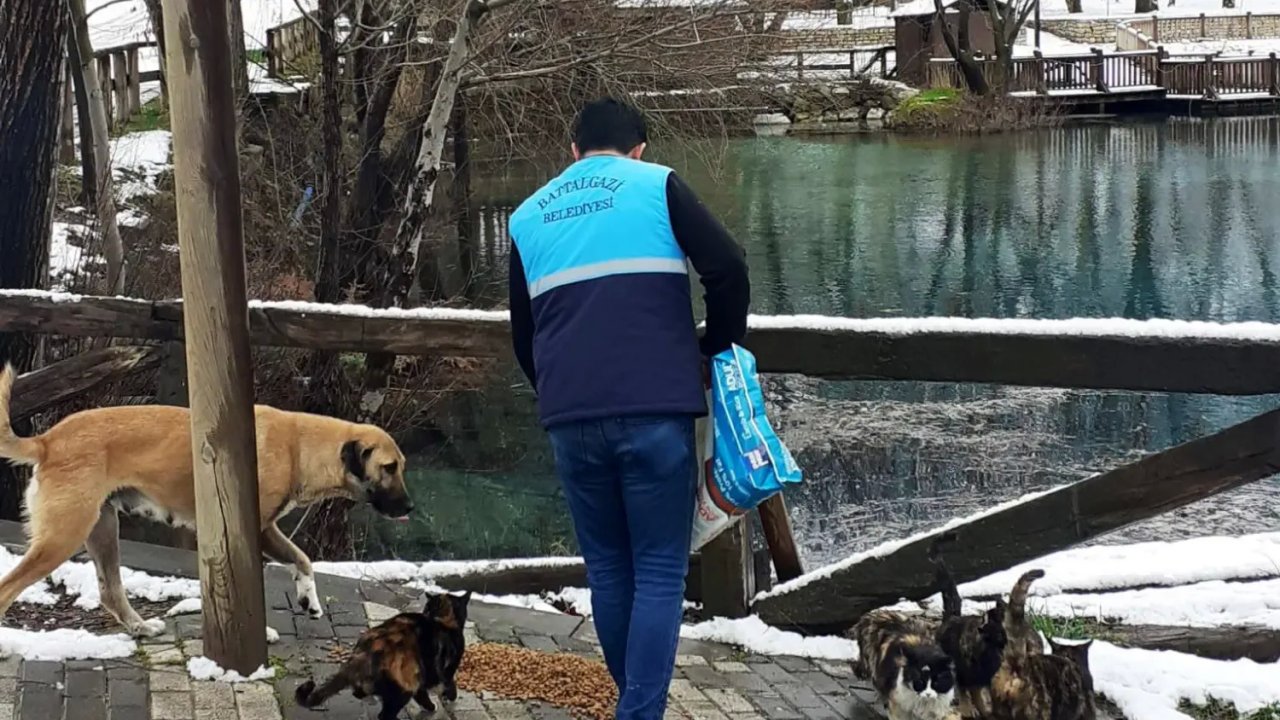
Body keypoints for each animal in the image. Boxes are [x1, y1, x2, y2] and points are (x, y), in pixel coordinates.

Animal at [0, 363, 414, 632]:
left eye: (401, 466)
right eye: (389, 467)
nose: (410, 507)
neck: (299, 445)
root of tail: (48, 441)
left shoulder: (267, 531)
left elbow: (303, 559)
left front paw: (309, 600)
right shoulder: (254, 532)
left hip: (102, 530)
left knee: (111, 592)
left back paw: (141, 628)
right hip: (62, 537)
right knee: (8, 590)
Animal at [293, 589, 471, 717]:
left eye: (427, 606)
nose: (426, 611)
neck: (442, 619)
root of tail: (366, 654)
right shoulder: (444, 670)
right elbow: (447, 684)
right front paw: (441, 701)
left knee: (359, 692)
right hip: (404, 687)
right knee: (384, 715)